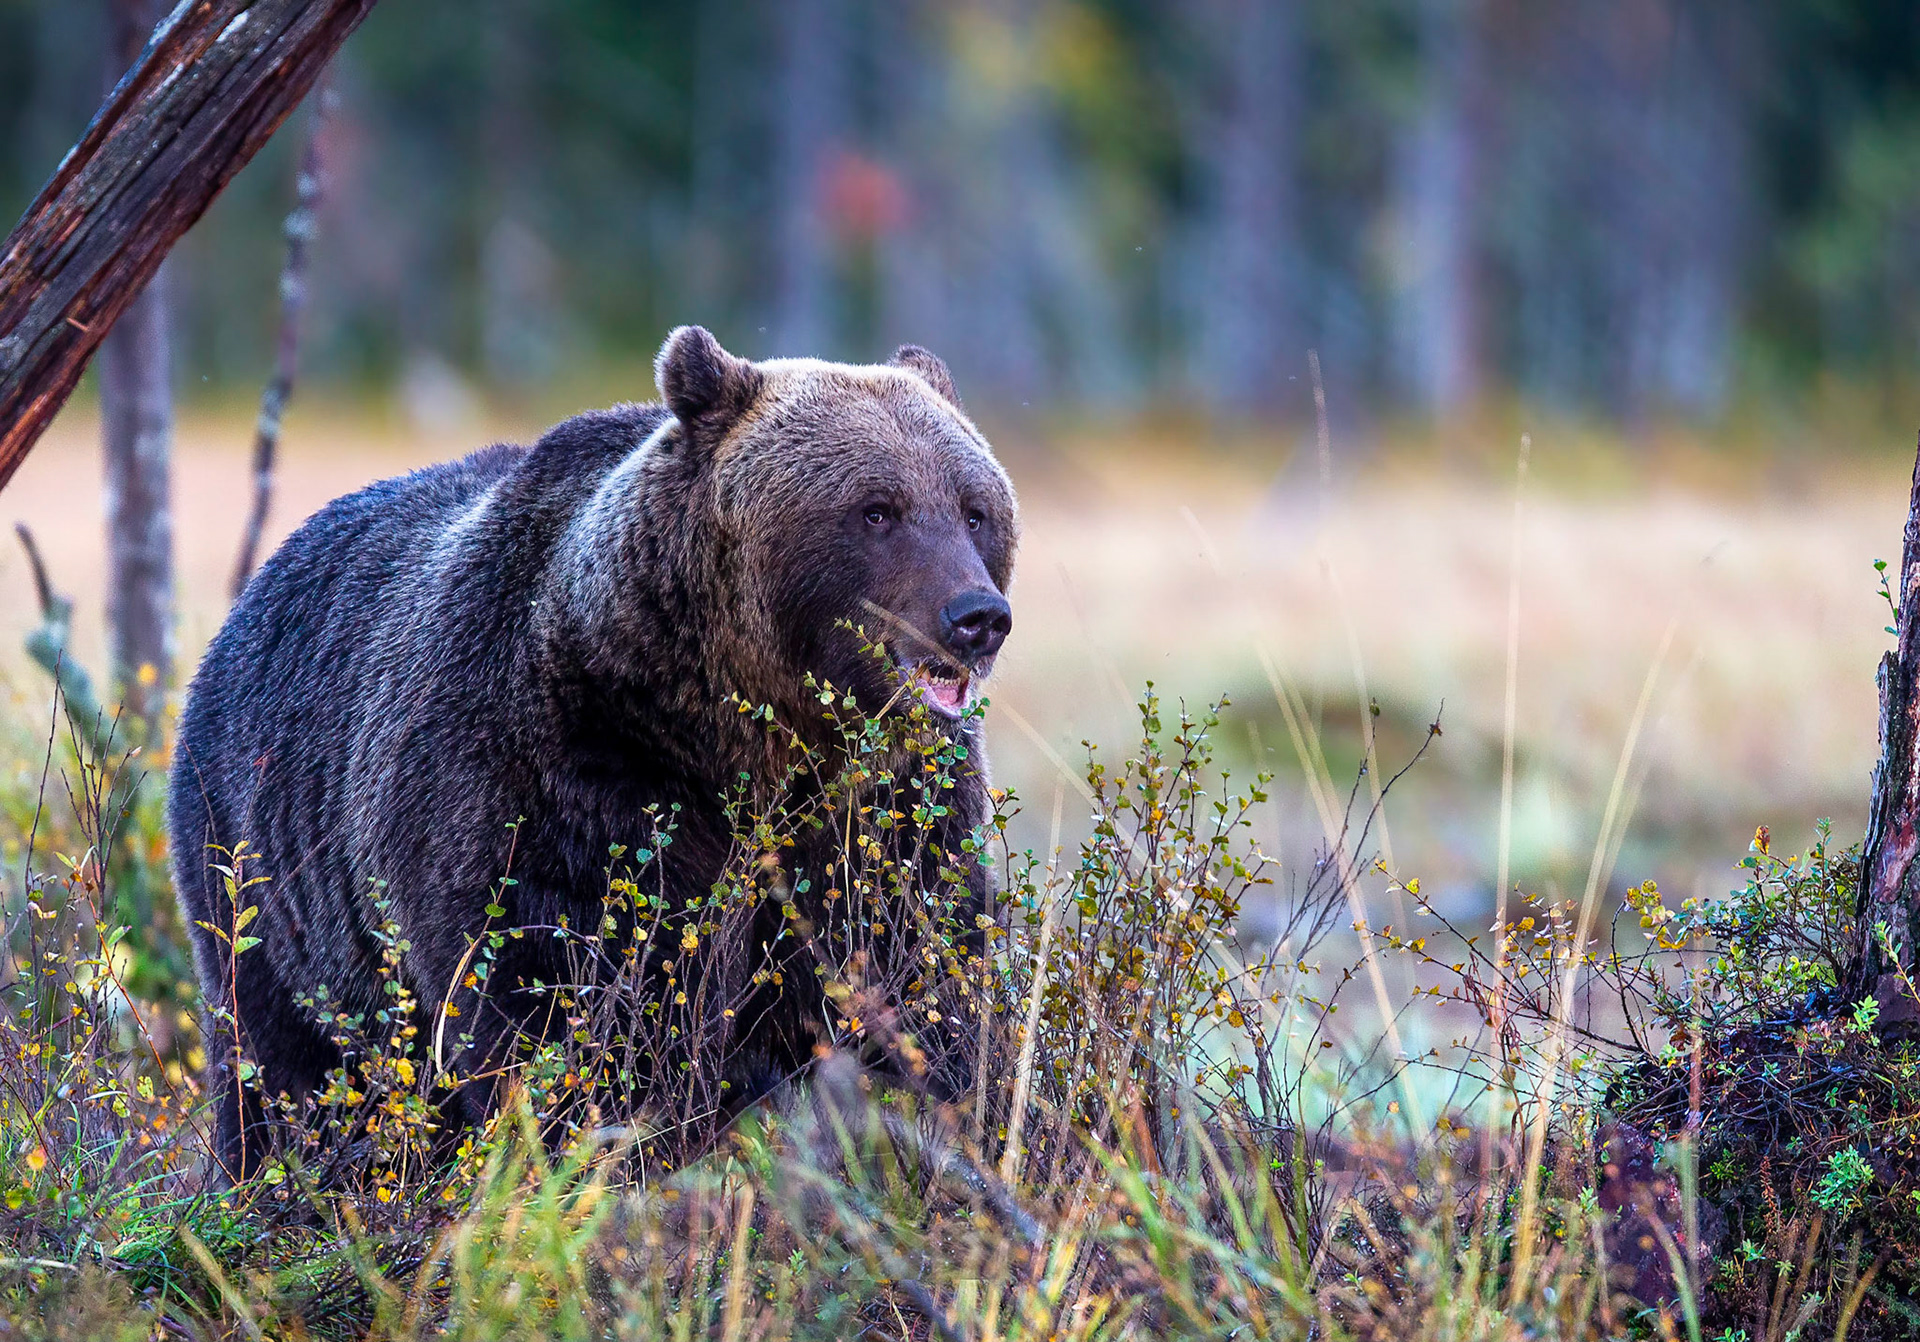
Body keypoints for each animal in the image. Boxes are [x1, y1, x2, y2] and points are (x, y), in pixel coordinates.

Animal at [168, 326, 1018, 1178]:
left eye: (975, 510)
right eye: (877, 510)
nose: (976, 616)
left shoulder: (881, 809)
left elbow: (918, 961)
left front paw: (951, 1116)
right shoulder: (558, 772)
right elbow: (562, 993)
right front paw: (608, 1145)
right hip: (260, 866)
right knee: (284, 1060)